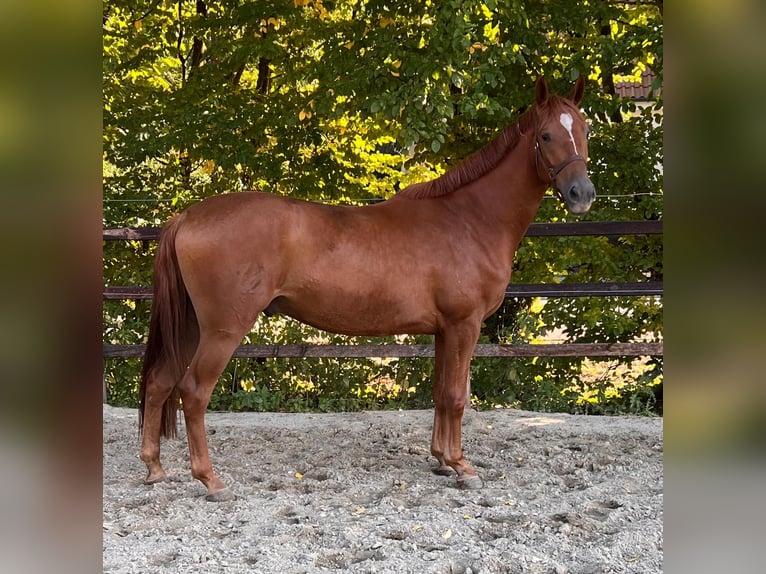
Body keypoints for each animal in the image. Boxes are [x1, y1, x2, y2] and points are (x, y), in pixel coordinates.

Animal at [138, 76, 596, 500]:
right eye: (546, 135)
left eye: (585, 129)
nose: (582, 194)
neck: (468, 218)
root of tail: (188, 216)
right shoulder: (464, 325)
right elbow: (456, 396)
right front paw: (462, 466)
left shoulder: (444, 330)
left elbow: (439, 394)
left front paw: (441, 460)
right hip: (222, 330)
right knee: (193, 392)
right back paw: (211, 480)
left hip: (191, 326)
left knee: (160, 383)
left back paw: (154, 468)